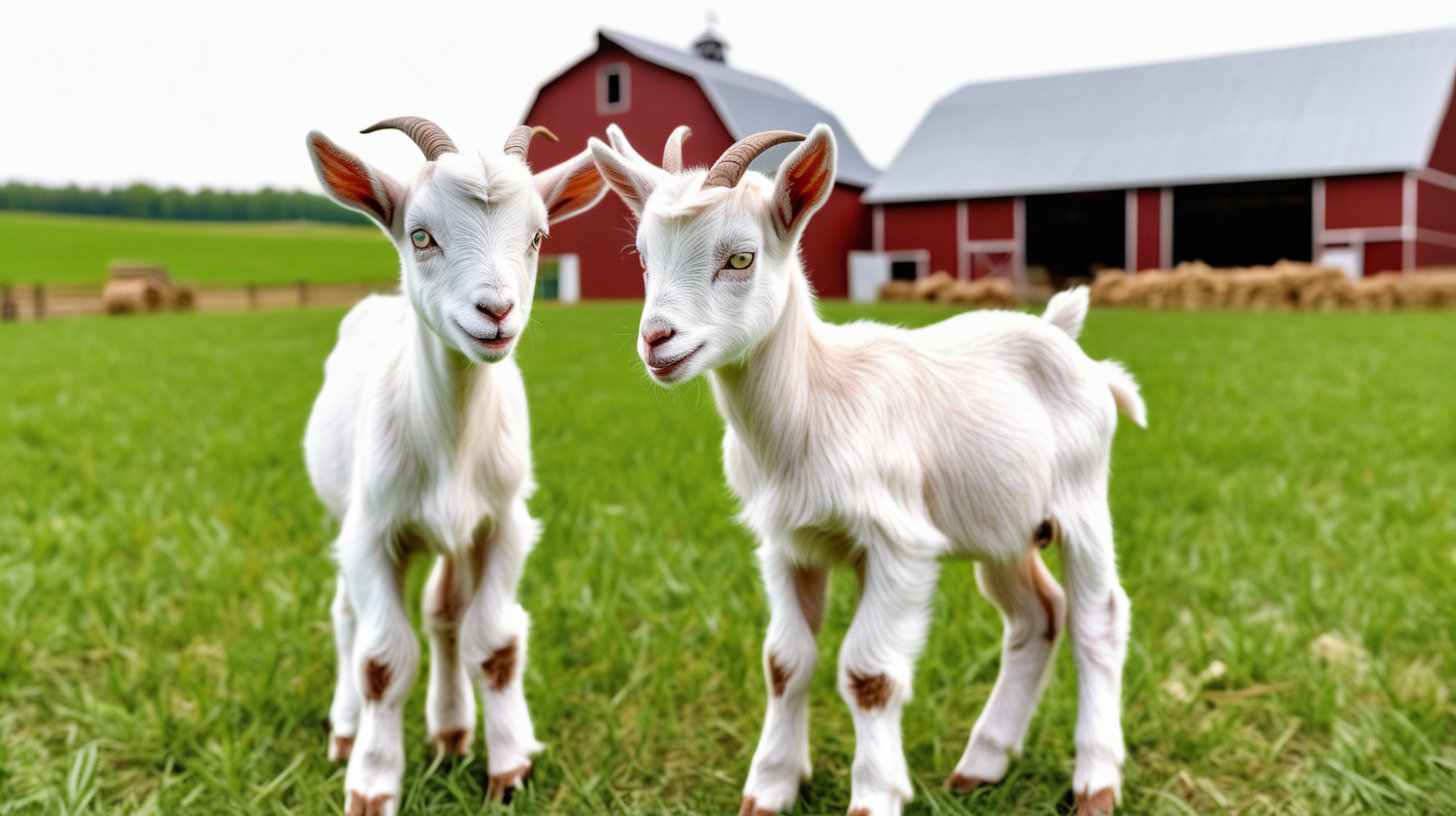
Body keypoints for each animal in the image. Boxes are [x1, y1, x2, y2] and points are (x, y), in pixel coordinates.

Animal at [304, 116, 605, 816]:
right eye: (421, 235)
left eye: (538, 237)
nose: (496, 311)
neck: (452, 441)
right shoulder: (373, 530)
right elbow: (381, 660)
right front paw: (372, 784)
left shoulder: (502, 523)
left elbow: (490, 642)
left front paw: (508, 765)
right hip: (347, 515)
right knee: (347, 615)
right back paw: (346, 729)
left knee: (443, 614)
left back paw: (450, 729)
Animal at [591, 122, 1147, 816]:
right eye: (642, 258)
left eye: (741, 259)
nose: (656, 340)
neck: (815, 402)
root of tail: (1063, 335)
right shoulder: (788, 544)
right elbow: (785, 662)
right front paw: (770, 787)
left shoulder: (898, 543)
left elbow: (869, 674)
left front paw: (875, 793)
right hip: (1003, 523)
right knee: (1037, 615)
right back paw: (981, 764)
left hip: (1082, 500)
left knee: (1098, 620)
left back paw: (1096, 781)